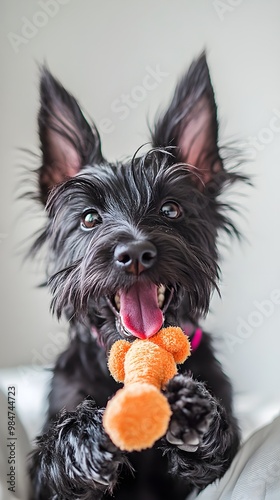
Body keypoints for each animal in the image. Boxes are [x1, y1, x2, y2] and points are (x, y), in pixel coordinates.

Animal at [27, 52, 245, 498]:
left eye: (171, 209)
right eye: (89, 218)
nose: (134, 254)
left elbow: (222, 446)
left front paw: (191, 410)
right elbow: (52, 459)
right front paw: (84, 437)